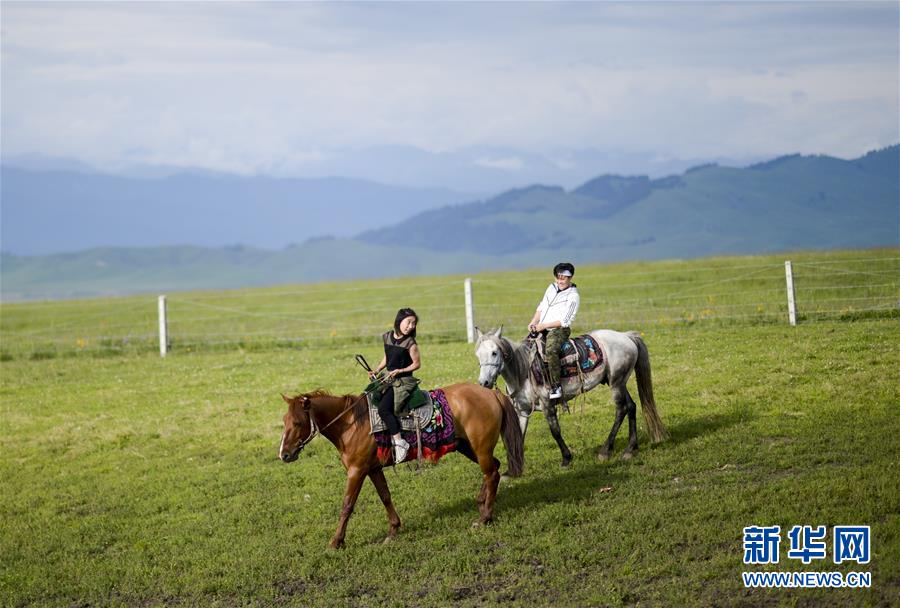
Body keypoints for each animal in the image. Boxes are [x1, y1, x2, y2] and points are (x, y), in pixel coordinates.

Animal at [278, 382, 524, 548]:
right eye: (284, 421)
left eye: (298, 423)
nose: (284, 454)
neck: (352, 424)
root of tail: (491, 392)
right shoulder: (373, 469)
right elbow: (385, 497)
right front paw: (393, 530)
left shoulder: (357, 471)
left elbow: (347, 505)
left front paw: (336, 541)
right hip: (467, 446)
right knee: (494, 468)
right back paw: (481, 502)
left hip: (480, 448)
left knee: (492, 473)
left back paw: (484, 518)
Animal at [474, 328, 664, 466]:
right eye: (478, 355)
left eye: (494, 353)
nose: (484, 382)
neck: (523, 371)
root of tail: (626, 336)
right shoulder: (522, 410)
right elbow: (518, 435)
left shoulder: (547, 405)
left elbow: (555, 431)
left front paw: (566, 458)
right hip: (619, 382)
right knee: (631, 406)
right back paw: (630, 449)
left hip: (616, 383)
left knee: (621, 409)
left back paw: (605, 451)